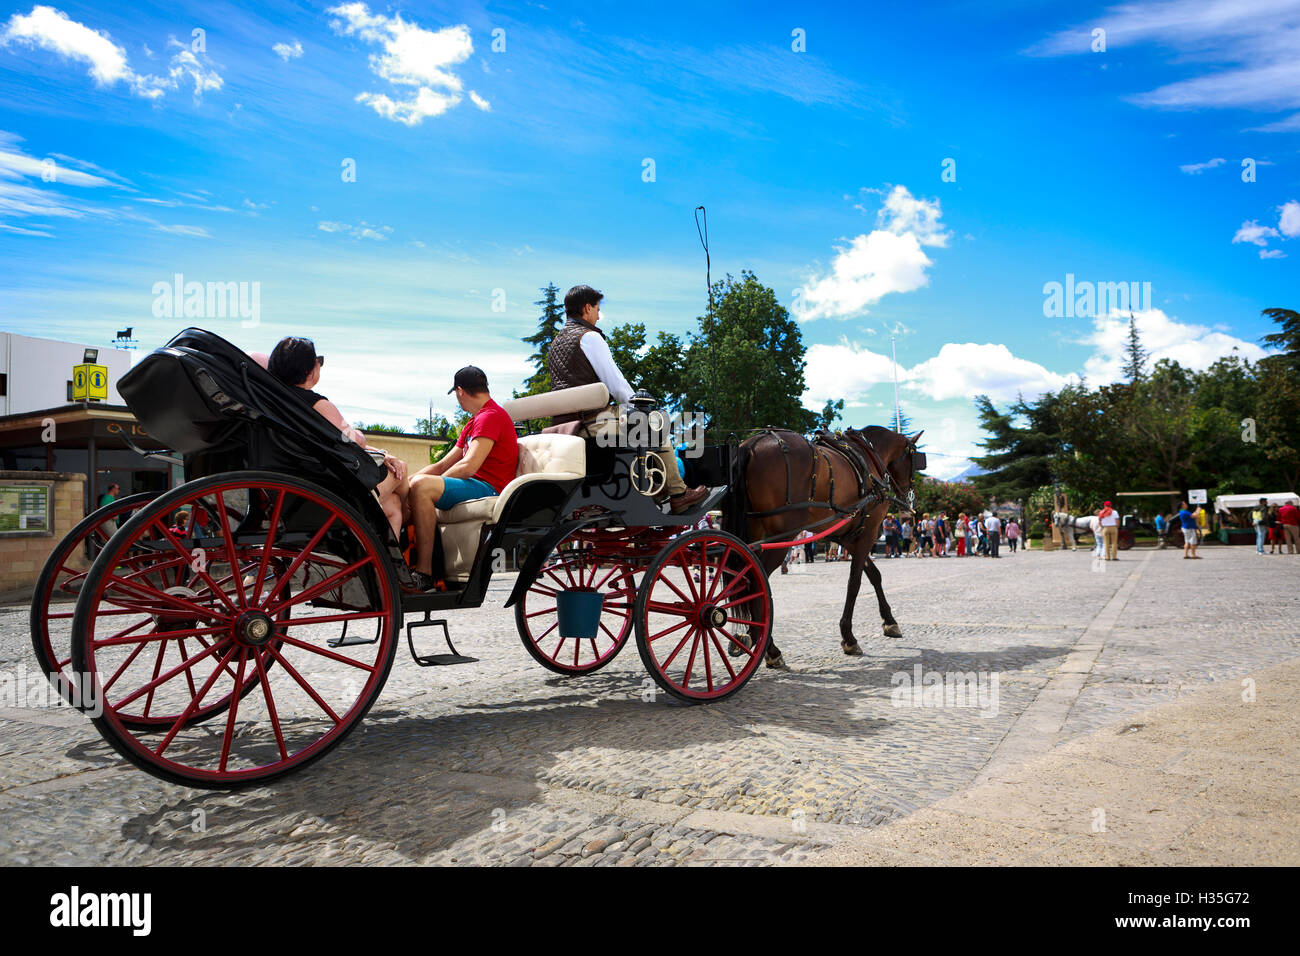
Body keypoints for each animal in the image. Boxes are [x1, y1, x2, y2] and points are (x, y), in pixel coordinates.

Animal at [733, 429, 925, 671]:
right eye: (914, 459)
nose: (910, 499)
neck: (869, 457)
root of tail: (751, 444)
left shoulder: (848, 535)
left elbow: (874, 575)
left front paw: (889, 622)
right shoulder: (868, 533)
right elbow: (855, 582)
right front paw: (849, 638)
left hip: (755, 533)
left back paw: (754, 637)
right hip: (781, 537)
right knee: (756, 583)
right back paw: (770, 649)